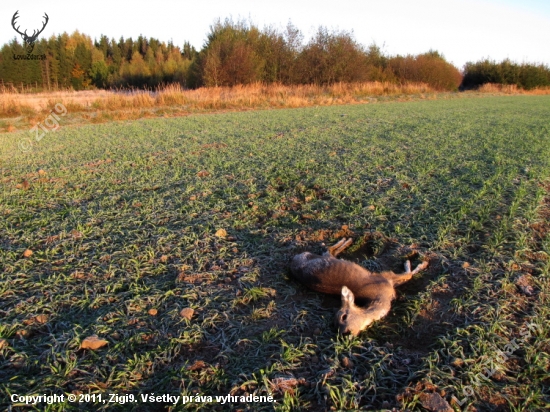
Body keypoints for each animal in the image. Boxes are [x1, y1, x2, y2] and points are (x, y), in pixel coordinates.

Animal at [292, 238, 430, 334]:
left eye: (343, 316)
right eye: (335, 324)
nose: (345, 333)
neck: (382, 297)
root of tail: (294, 260)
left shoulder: (384, 278)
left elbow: (408, 275)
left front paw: (418, 262)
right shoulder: (384, 278)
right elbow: (408, 275)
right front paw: (418, 263)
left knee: (329, 249)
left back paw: (347, 240)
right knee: (329, 250)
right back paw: (347, 240)